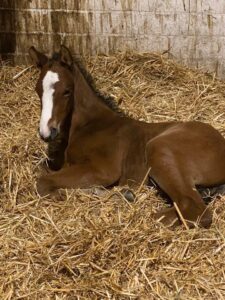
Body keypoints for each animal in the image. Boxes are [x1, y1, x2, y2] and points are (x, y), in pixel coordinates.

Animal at [29, 44, 225, 229]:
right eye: (38, 90)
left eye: (67, 91)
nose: (47, 132)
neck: (91, 125)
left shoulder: (103, 169)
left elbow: (43, 181)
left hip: (159, 148)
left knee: (193, 209)